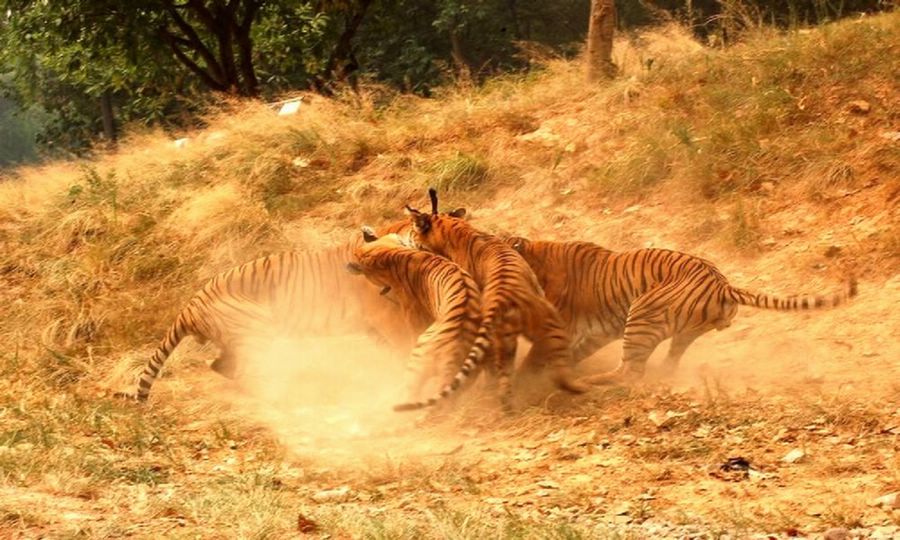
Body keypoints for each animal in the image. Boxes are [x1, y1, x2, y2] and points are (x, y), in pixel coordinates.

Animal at [115, 221, 418, 402]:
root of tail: (190, 305)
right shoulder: (386, 317)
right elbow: (406, 341)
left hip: (239, 338)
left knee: (220, 365)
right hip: (256, 329)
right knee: (245, 371)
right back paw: (279, 393)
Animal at [400, 188, 596, 412]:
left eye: (414, 230)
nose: (407, 240)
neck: (454, 229)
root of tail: (501, 298)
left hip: (515, 338)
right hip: (544, 325)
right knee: (554, 368)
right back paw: (574, 388)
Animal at [506, 236, 856, 384]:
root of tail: (724, 284)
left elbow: (535, 358)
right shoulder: (595, 331)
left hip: (641, 313)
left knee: (630, 372)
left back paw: (593, 382)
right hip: (683, 331)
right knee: (666, 362)